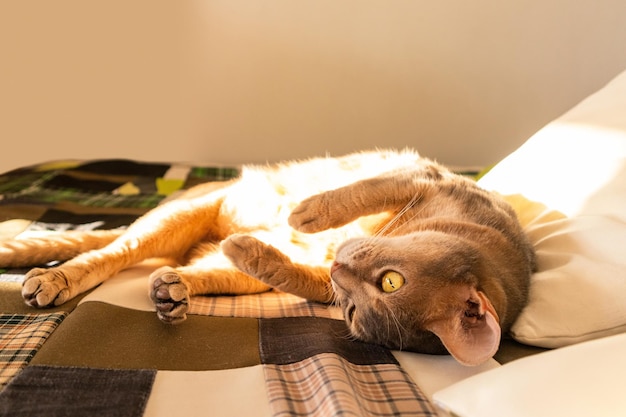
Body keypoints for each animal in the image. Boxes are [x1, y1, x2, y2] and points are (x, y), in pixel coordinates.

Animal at [0, 149, 532, 364]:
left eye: (354, 311)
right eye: (392, 281)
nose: (340, 266)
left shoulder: (316, 280)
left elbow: (291, 273)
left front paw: (266, 244)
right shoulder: (418, 177)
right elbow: (355, 193)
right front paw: (307, 212)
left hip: (228, 273)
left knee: (193, 268)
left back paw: (174, 289)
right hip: (179, 214)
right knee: (112, 250)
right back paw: (54, 279)